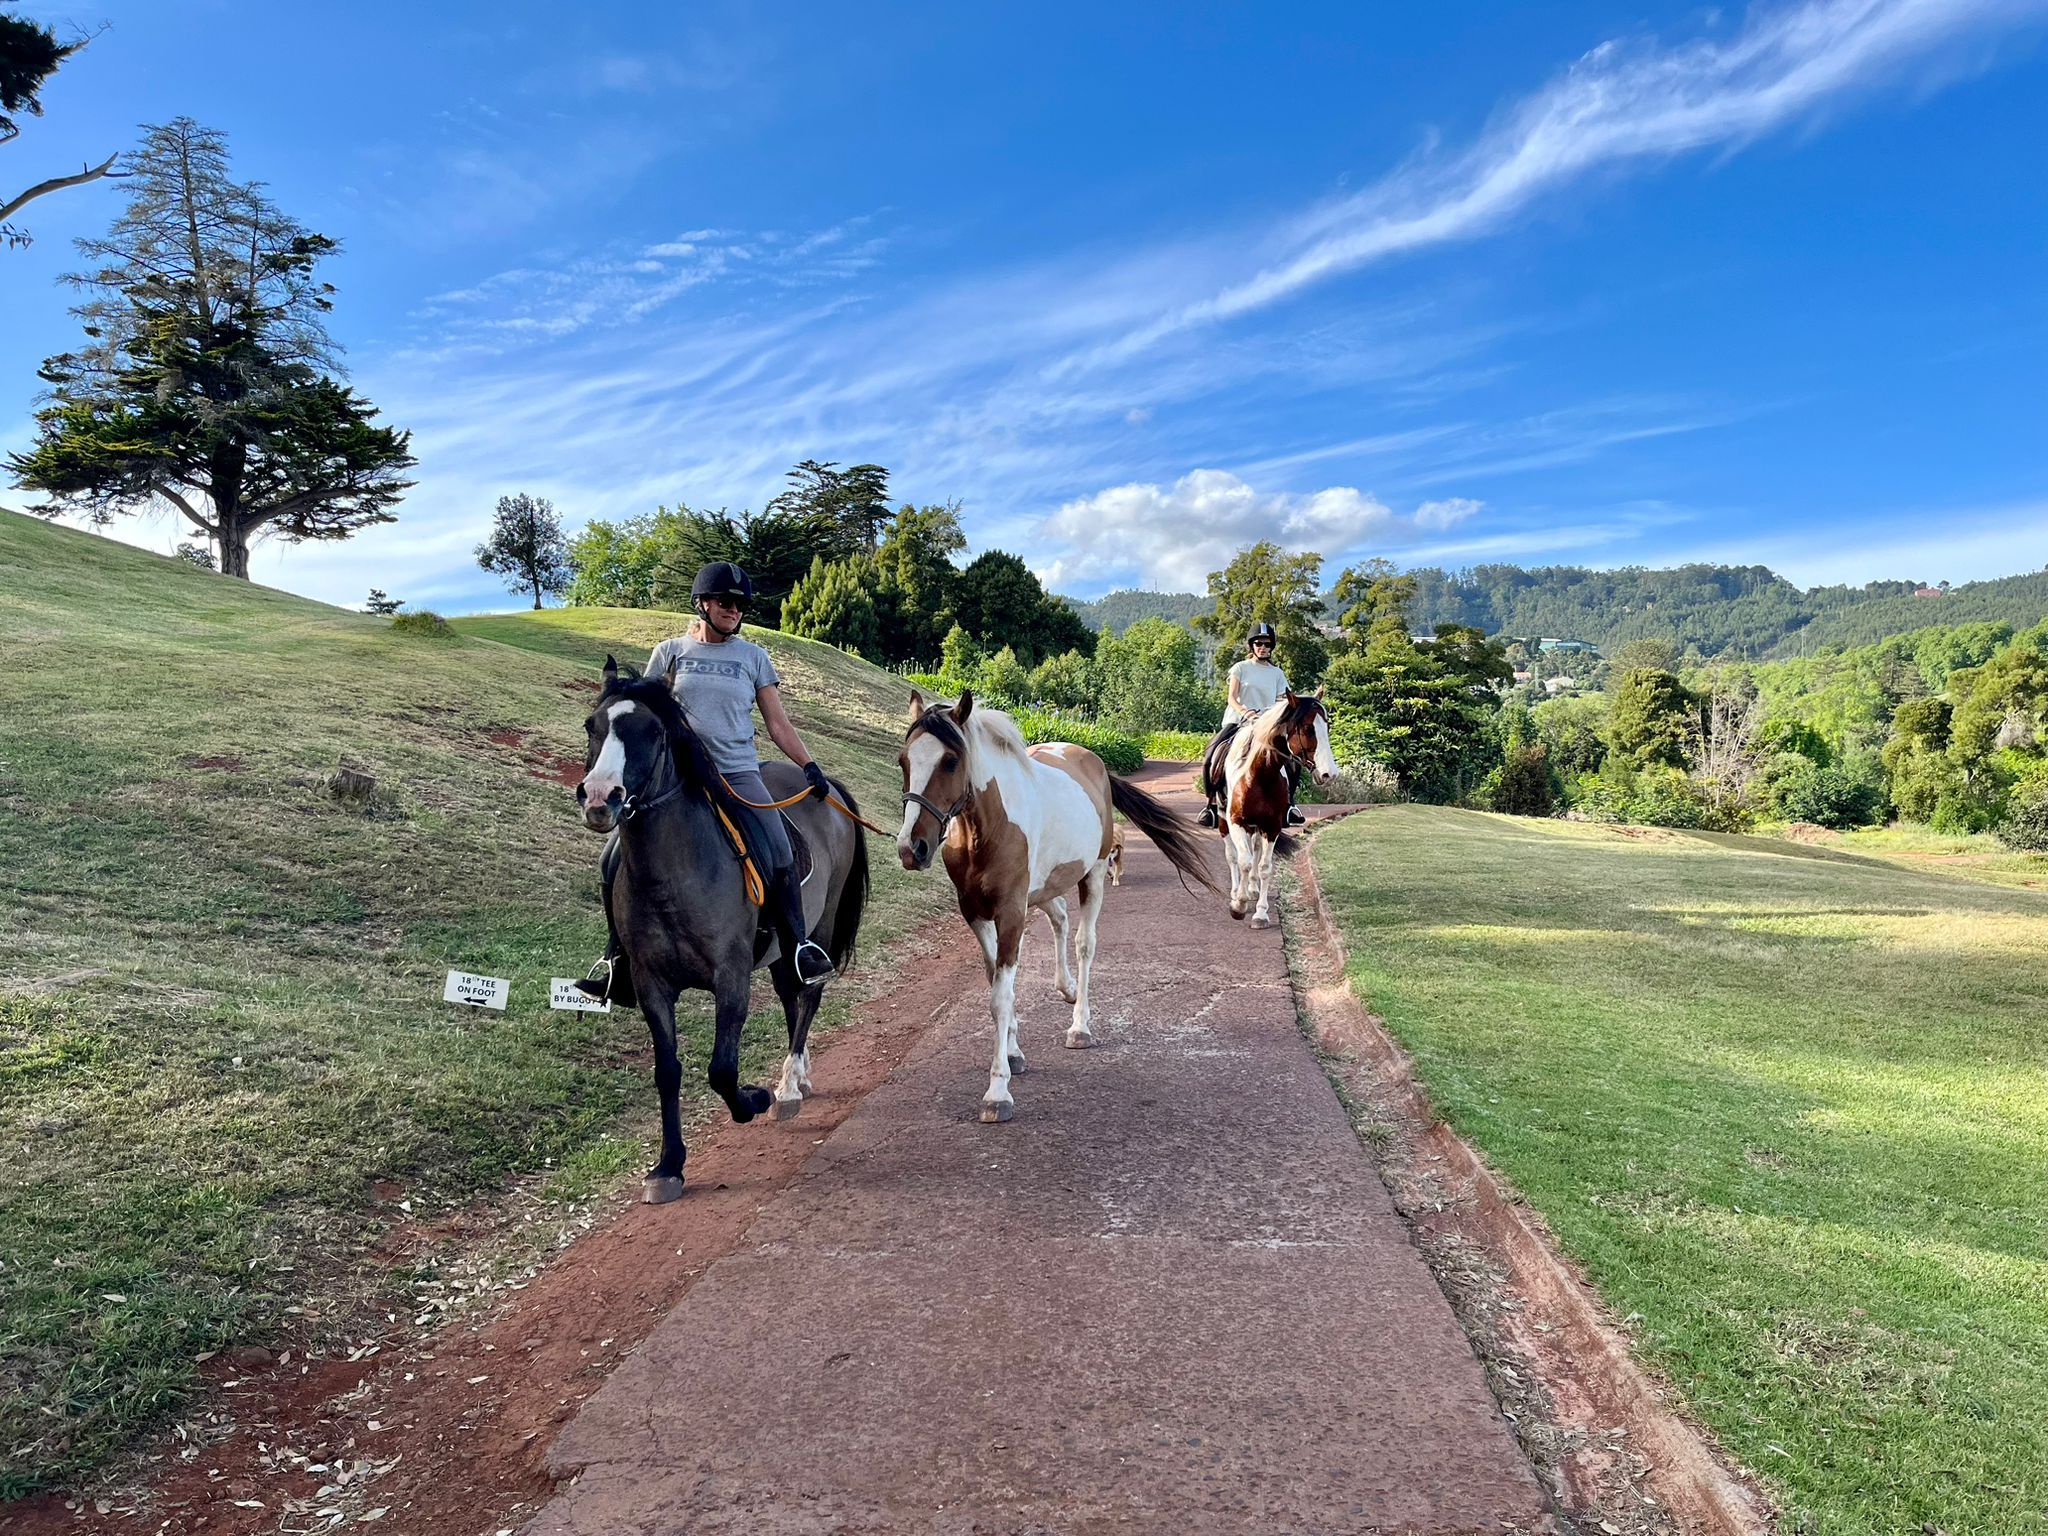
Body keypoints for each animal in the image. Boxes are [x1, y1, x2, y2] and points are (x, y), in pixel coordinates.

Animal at [576, 656, 869, 1203]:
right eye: (592, 725)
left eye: (653, 731)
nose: (602, 797)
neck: (675, 874)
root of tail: (823, 789)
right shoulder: (650, 984)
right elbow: (668, 1071)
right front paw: (668, 1165)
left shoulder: (730, 976)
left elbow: (722, 1069)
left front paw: (753, 1099)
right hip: (778, 950)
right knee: (790, 995)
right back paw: (797, 1077)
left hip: (816, 924)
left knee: (808, 993)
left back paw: (789, 1086)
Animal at [895, 690, 1219, 1123]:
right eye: (905, 760)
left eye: (950, 760)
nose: (911, 848)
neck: (989, 828)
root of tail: (1091, 760)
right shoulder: (976, 913)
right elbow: (996, 985)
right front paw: (1013, 1053)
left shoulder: (1011, 912)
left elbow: (1000, 996)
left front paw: (997, 1092)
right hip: (1046, 888)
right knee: (1061, 918)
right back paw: (1065, 988)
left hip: (1094, 874)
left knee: (1084, 943)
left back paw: (1080, 1025)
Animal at [1215, 690, 1339, 927]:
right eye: (1308, 728)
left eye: (1327, 727)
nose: (1330, 774)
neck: (1260, 775)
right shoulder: (1236, 822)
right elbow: (1243, 861)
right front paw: (1238, 905)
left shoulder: (1271, 827)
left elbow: (1264, 867)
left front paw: (1260, 913)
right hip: (1223, 821)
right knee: (1232, 856)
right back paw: (1236, 892)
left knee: (1254, 850)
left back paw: (1252, 889)